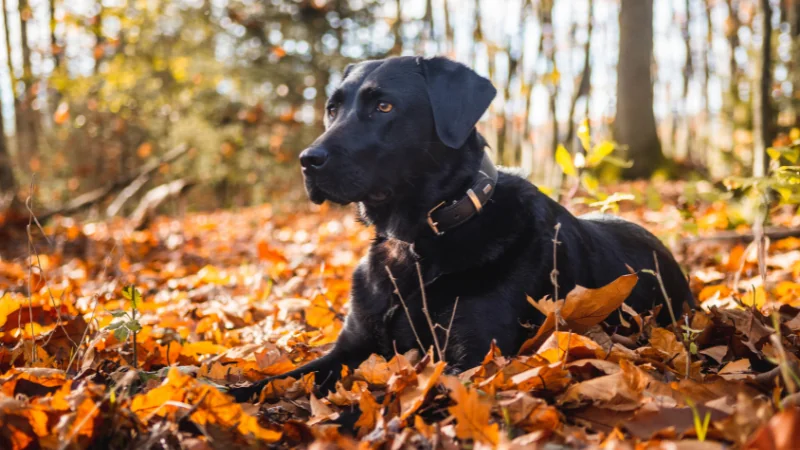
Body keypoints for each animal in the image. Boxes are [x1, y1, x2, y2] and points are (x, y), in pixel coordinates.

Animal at [228, 55, 692, 400]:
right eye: (332, 108)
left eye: (384, 107)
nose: (308, 160)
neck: (416, 241)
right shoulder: (352, 346)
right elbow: (276, 380)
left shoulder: (470, 360)